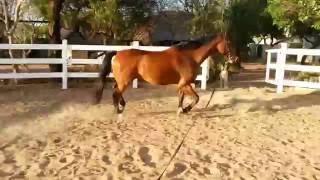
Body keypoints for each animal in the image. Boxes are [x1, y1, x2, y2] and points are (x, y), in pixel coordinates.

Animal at [94, 33, 236, 114]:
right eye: (228, 43)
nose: (234, 58)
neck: (189, 56)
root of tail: (117, 53)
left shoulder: (183, 84)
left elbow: (181, 97)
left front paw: (180, 110)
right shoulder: (184, 83)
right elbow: (196, 98)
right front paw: (186, 110)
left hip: (122, 81)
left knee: (116, 90)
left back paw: (121, 106)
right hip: (124, 81)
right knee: (116, 93)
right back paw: (118, 110)